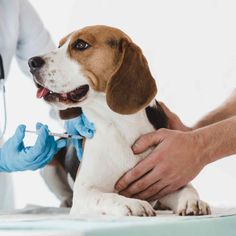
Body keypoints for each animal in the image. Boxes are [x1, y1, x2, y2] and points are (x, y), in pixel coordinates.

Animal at [28, 25, 210, 216]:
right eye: (59, 45)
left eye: (80, 45)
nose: (31, 62)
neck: (120, 125)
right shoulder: (85, 193)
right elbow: (108, 196)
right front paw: (132, 203)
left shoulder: (168, 178)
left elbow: (188, 188)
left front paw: (193, 201)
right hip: (48, 165)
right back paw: (66, 200)